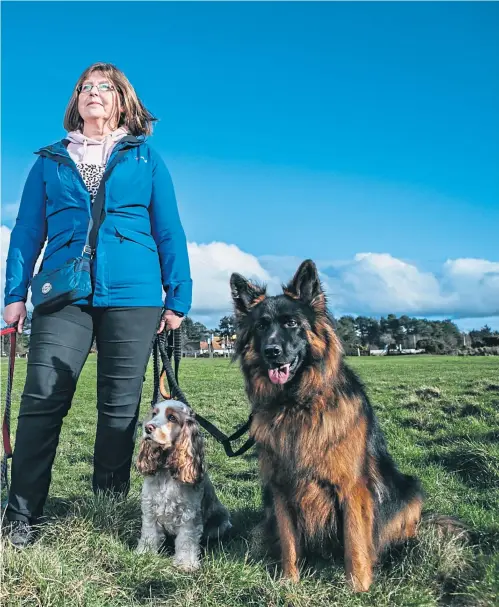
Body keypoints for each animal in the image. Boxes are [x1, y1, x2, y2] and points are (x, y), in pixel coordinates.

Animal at [231, 258, 426, 592]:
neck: (296, 404)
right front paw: (289, 582)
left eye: (291, 323)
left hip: (408, 491)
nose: (271, 352)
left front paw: (358, 586)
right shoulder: (280, 489)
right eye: (261, 326)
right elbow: (289, 543)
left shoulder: (351, 488)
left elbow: (355, 541)